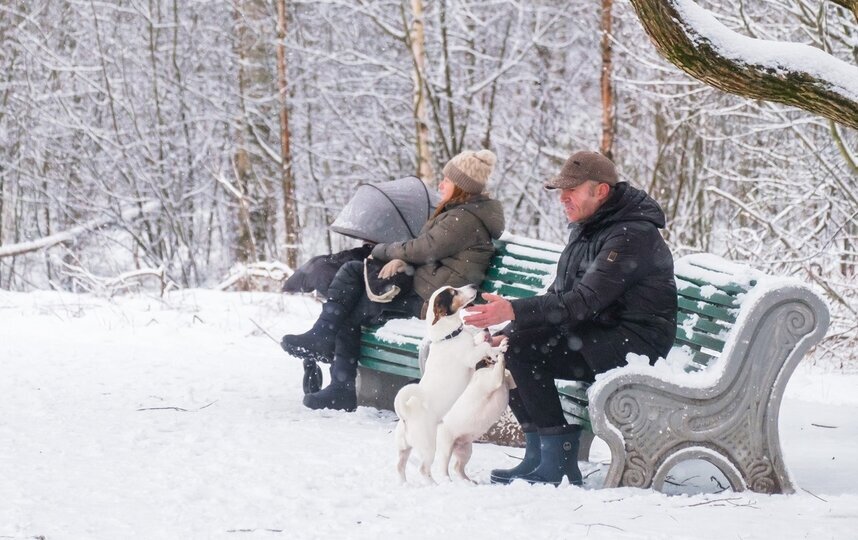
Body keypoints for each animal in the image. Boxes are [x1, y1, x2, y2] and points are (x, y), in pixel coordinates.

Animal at [392, 284, 502, 484]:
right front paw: (495, 349)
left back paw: (404, 483)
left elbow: (480, 343)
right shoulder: (470, 357)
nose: (474, 285)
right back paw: (435, 485)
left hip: (404, 448)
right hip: (428, 447)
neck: (448, 336)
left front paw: (496, 343)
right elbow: (483, 348)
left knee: (400, 465)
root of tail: (406, 416)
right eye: (453, 293)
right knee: (423, 469)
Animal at [438, 348, 512, 484]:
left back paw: (468, 481)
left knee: (458, 467)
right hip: (446, 448)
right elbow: (500, 367)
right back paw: (448, 480)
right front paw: (501, 353)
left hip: (465, 450)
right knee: (443, 467)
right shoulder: (492, 380)